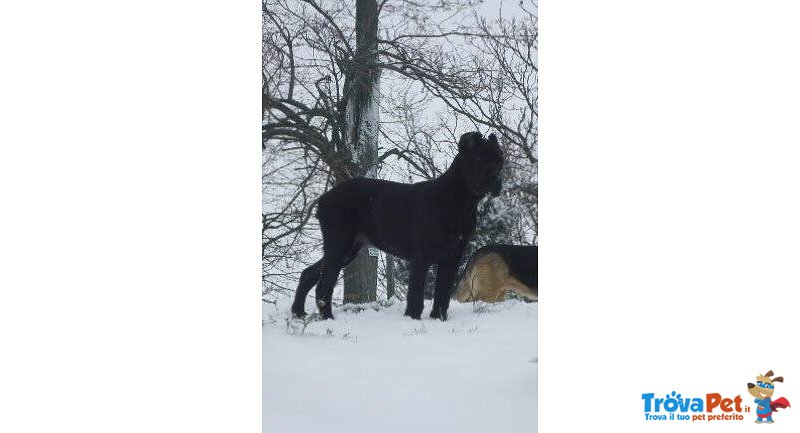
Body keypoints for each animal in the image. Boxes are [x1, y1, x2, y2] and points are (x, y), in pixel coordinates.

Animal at [290, 130, 504, 318]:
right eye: (479, 158)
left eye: (499, 161)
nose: (495, 175)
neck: (461, 201)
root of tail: (325, 197)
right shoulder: (422, 255)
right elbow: (416, 295)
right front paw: (413, 318)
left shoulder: (452, 258)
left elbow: (442, 295)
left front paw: (438, 319)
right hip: (339, 243)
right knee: (324, 284)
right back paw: (327, 318)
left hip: (347, 250)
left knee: (309, 274)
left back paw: (298, 312)